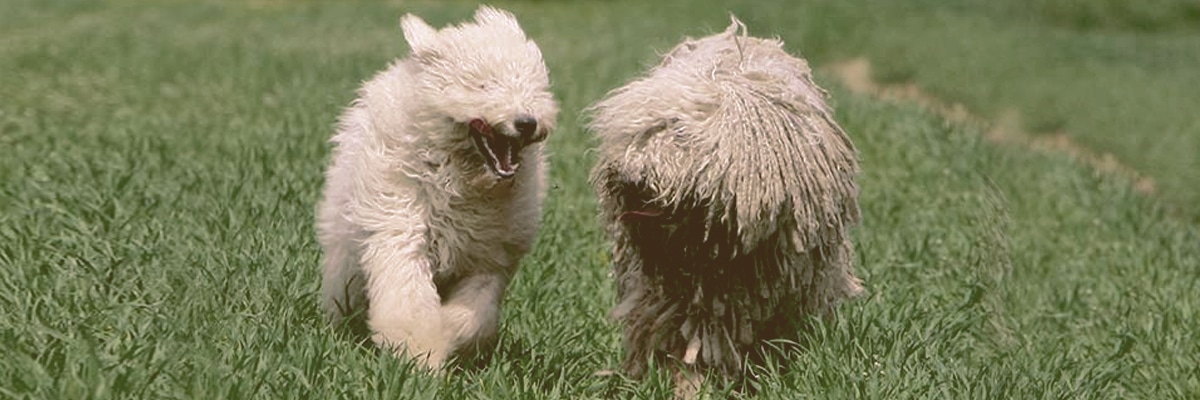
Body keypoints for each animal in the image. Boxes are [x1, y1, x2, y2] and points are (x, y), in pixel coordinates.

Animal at [319, 7, 561, 367]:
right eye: (484, 84)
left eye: (535, 87)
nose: (527, 122)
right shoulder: (400, 231)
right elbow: (408, 299)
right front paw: (418, 355)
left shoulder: (489, 258)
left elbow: (475, 315)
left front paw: (446, 335)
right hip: (345, 252)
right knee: (343, 290)